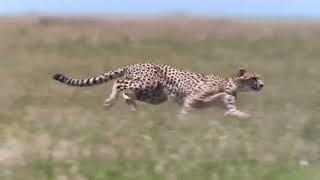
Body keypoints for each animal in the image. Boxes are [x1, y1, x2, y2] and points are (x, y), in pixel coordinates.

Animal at [52, 62, 262, 119]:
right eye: (254, 77)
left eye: (259, 77)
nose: (262, 85)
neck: (231, 84)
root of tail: (134, 64)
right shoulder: (193, 96)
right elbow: (186, 110)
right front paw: (182, 123)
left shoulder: (228, 106)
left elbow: (236, 113)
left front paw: (250, 119)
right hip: (147, 84)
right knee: (119, 83)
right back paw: (110, 102)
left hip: (155, 94)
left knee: (127, 93)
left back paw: (132, 108)